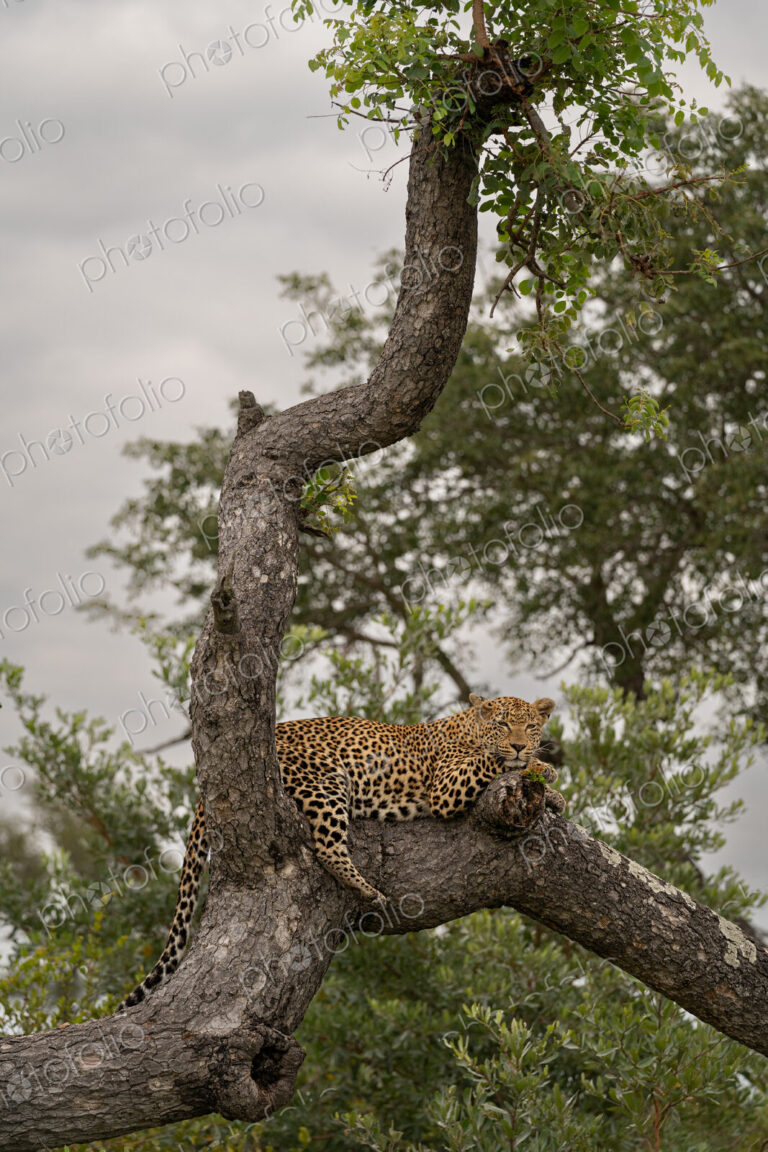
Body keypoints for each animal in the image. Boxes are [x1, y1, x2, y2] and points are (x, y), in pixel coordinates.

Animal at [118, 692, 563, 1009]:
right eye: (503, 725)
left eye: (530, 727)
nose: (520, 745)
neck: (470, 727)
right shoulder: (447, 787)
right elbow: (494, 764)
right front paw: (536, 768)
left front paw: (551, 789)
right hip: (326, 779)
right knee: (327, 848)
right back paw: (368, 891)